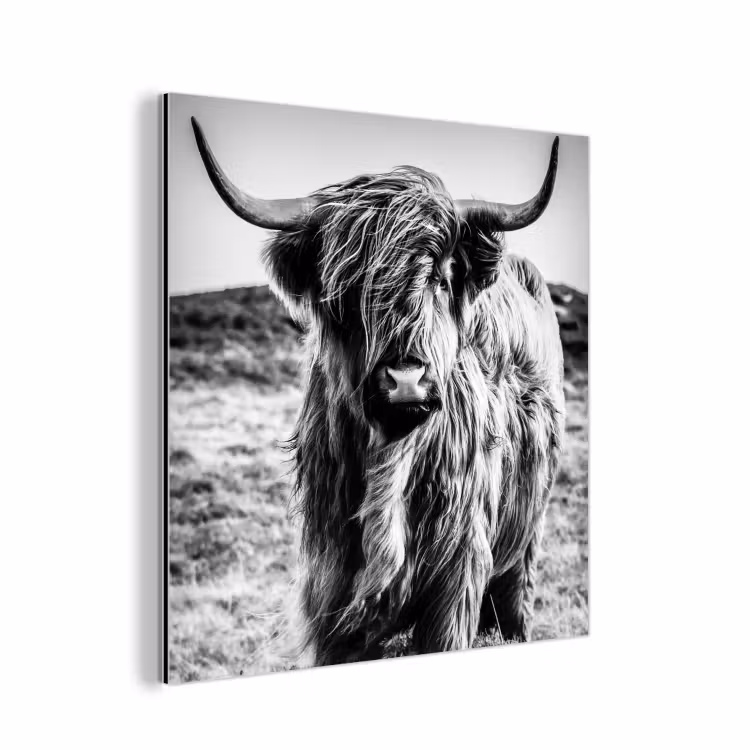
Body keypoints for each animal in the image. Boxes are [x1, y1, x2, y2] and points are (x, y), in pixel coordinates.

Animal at [191, 117, 565, 666]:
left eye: (440, 278)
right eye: (346, 289)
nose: (405, 379)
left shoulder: (456, 579)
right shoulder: (330, 587)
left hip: (525, 544)